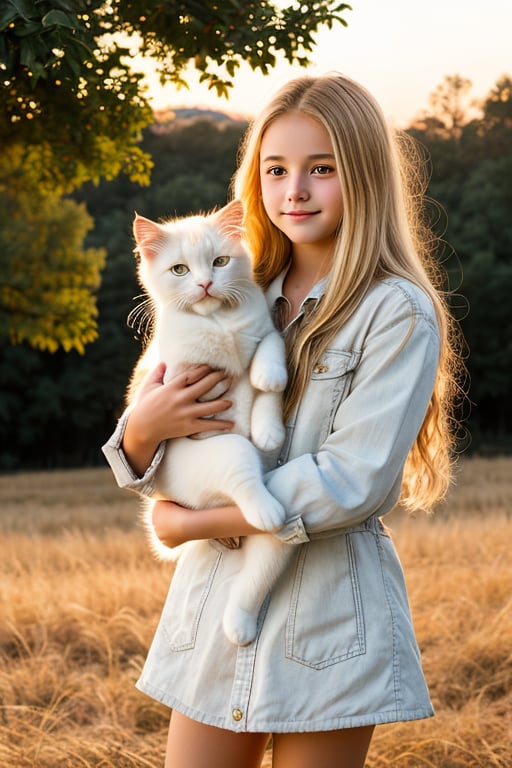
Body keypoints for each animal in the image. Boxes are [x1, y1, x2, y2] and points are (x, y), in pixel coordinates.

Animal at [130, 201, 292, 644]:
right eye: (179, 270)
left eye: (220, 262)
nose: (204, 284)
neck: (218, 321)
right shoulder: (177, 371)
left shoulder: (264, 332)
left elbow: (268, 365)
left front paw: (267, 420)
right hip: (227, 456)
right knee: (246, 482)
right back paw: (265, 508)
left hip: (279, 542)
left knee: (256, 577)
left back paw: (240, 626)